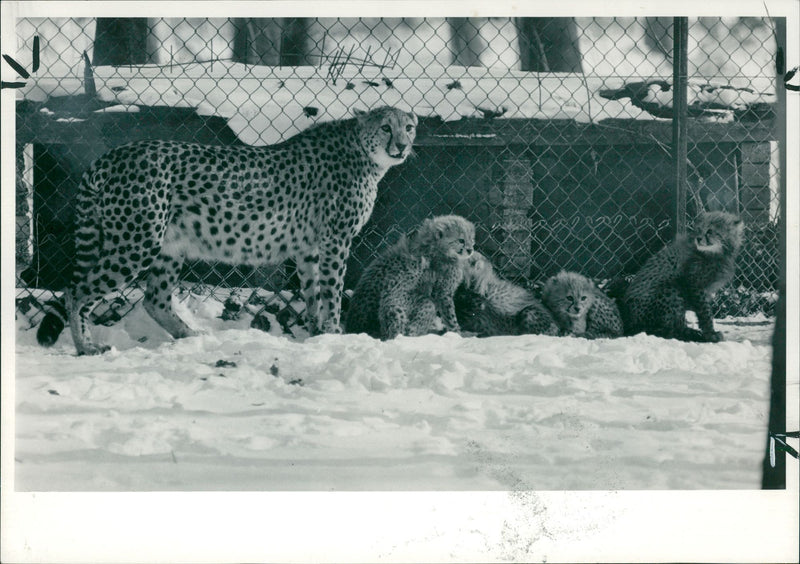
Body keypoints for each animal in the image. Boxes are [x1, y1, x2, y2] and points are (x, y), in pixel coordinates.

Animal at [36, 105, 418, 352]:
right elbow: (333, 291)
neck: (364, 151)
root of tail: (113, 154)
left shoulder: (309, 248)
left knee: (153, 299)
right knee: (76, 290)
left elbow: (313, 293)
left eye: (409, 127)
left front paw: (316, 334)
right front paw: (334, 332)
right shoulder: (335, 240)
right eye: (386, 127)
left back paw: (189, 335)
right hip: (136, 242)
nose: (402, 145)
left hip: (168, 246)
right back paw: (86, 346)